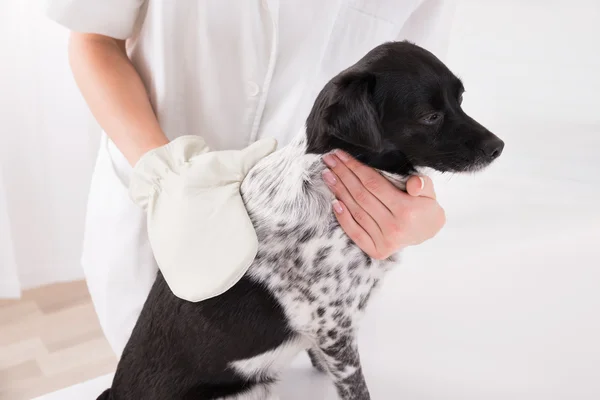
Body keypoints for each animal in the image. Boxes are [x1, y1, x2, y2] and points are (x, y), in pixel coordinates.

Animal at [97, 41, 502, 400]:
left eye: (460, 100)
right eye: (430, 116)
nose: (499, 147)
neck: (323, 182)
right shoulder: (334, 327)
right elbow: (355, 386)